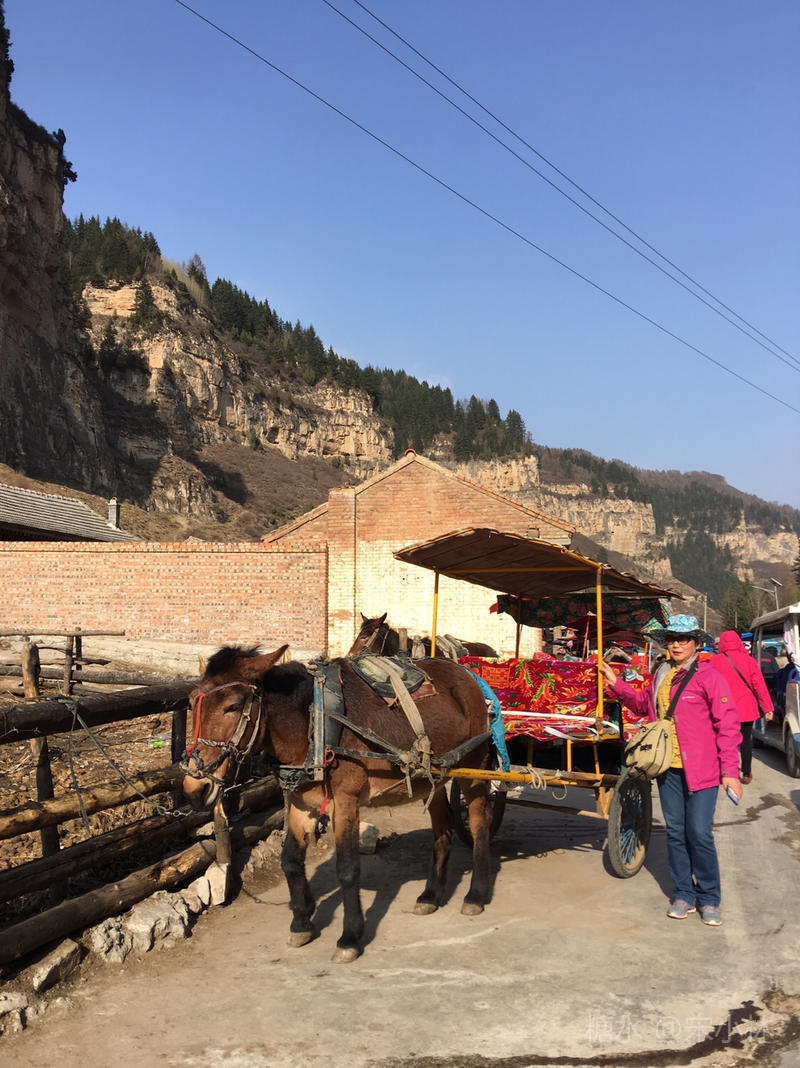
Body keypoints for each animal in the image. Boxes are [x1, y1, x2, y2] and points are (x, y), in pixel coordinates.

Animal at [182, 644, 495, 962]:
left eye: (232, 707)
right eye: (192, 702)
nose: (195, 788)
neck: (314, 723)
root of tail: (465, 672)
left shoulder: (345, 802)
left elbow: (347, 868)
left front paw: (350, 937)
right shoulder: (301, 801)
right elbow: (290, 861)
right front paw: (301, 923)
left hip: (474, 769)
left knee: (480, 822)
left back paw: (476, 894)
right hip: (432, 777)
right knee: (443, 828)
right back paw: (431, 895)